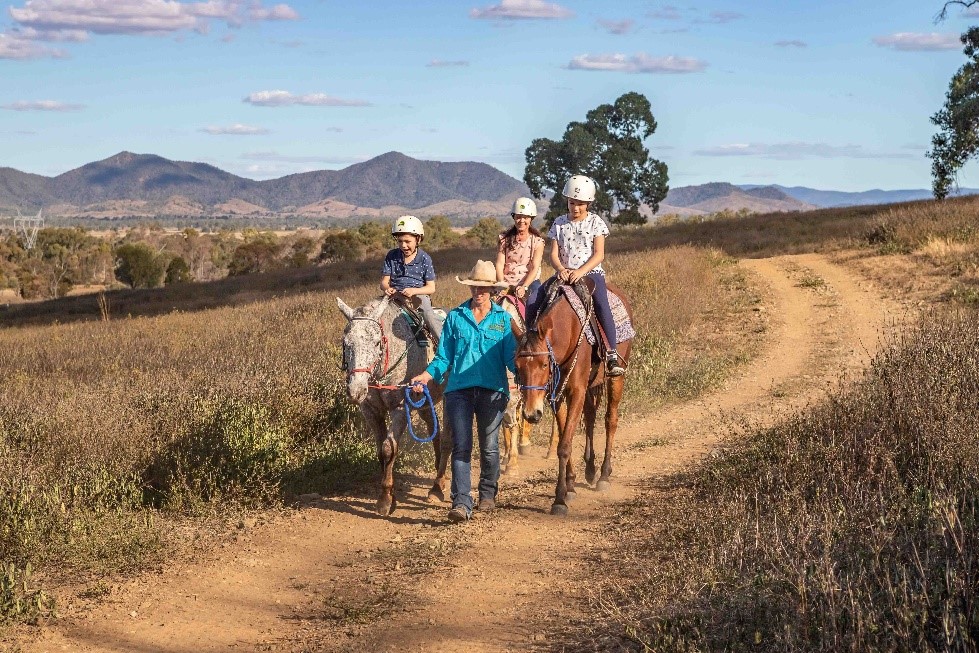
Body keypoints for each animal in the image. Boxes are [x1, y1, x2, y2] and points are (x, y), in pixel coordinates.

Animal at [336, 296, 452, 516]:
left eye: (376, 342)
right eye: (346, 343)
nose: (356, 390)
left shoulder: (400, 408)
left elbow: (389, 448)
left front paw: (385, 500)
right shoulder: (370, 411)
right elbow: (380, 451)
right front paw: (391, 495)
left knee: (450, 439)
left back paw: (437, 486)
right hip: (425, 404)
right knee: (436, 433)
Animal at [512, 280, 636, 516]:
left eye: (544, 364)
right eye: (518, 365)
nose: (531, 414)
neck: (567, 332)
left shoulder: (576, 390)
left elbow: (564, 445)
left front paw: (559, 499)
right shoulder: (557, 396)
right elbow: (564, 435)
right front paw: (569, 485)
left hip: (617, 377)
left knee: (610, 420)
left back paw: (604, 475)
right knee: (590, 418)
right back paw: (590, 469)